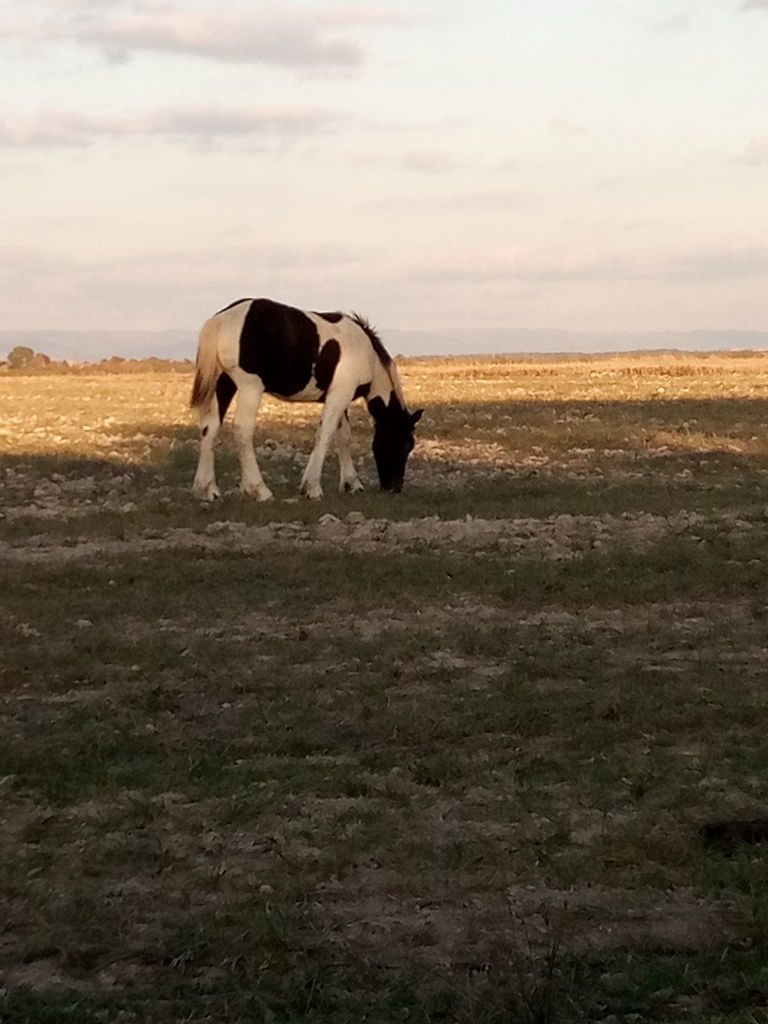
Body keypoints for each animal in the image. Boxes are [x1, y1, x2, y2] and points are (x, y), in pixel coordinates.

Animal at [189, 296, 423, 499]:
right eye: (404, 443)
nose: (394, 487)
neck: (366, 353)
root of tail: (221, 320)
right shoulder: (340, 395)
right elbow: (325, 434)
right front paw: (312, 487)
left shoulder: (339, 397)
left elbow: (343, 437)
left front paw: (351, 483)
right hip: (250, 387)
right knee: (242, 430)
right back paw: (259, 490)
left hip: (223, 385)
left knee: (210, 428)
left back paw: (206, 490)